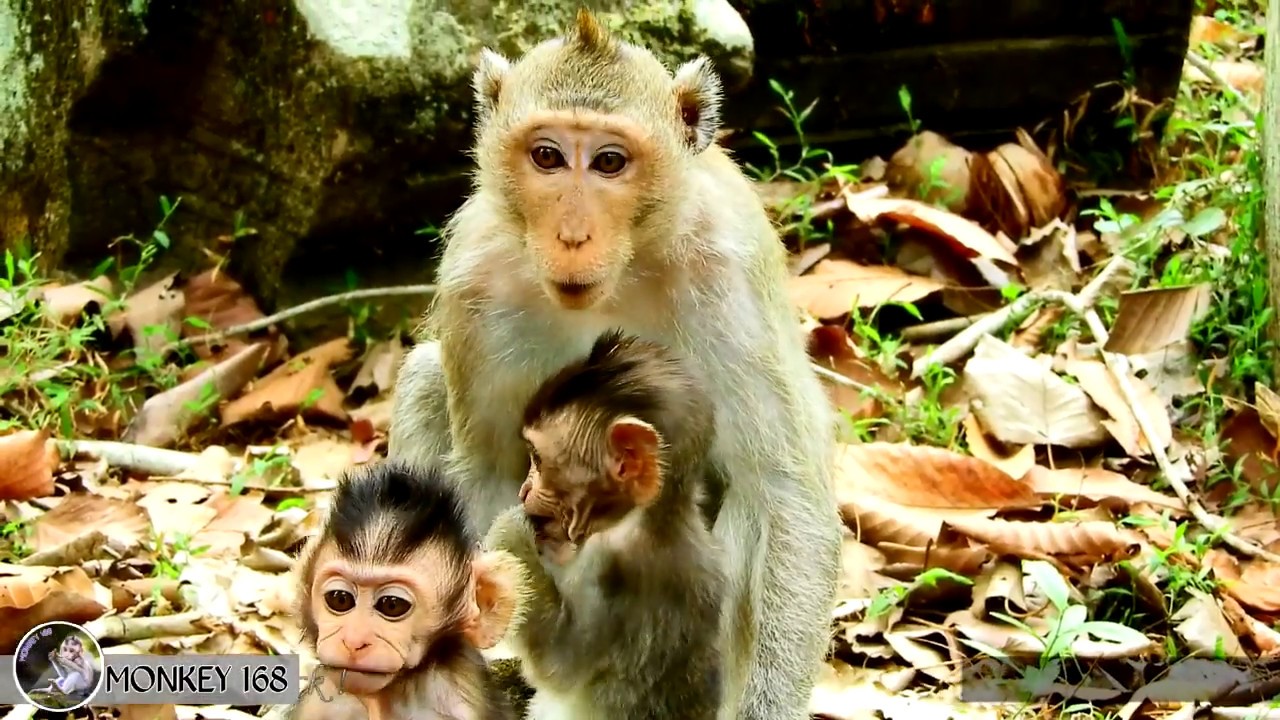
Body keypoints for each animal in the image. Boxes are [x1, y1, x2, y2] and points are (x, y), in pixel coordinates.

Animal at [483, 328, 726, 719]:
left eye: (537, 459)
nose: (523, 491)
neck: (644, 519)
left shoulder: (617, 571)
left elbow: (563, 664)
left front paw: (511, 533)